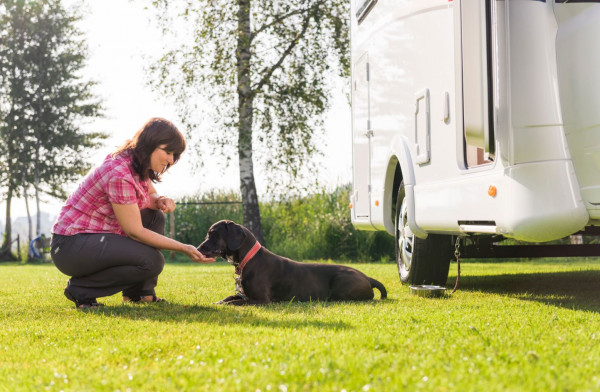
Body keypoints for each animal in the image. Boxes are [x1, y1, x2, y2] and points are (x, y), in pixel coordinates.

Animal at [197, 219, 384, 304]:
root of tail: (367, 277)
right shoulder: (244, 293)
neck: (248, 259)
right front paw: (219, 302)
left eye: (214, 234)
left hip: (342, 283)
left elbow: (235, 302)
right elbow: (229, 298)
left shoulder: (260, 300)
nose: (198, 248)